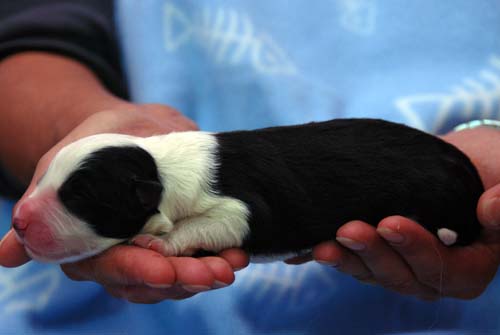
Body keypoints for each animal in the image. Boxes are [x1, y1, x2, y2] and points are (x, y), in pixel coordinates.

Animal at [11, 119, 484, 264]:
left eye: (79, 197)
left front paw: (161, 243)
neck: (160, 170)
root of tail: (462, 164)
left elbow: (231, 218)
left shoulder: (245, 204)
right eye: (47, 176)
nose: (17, 221)